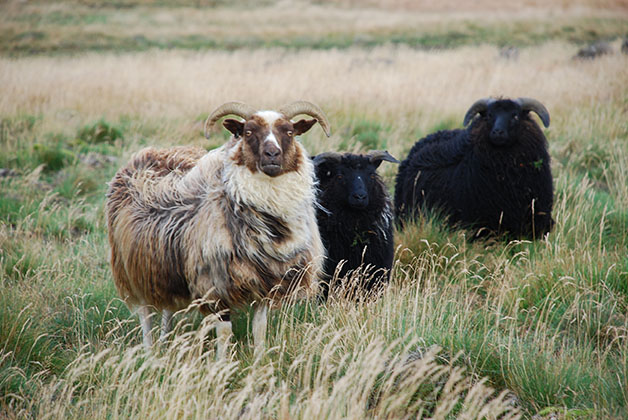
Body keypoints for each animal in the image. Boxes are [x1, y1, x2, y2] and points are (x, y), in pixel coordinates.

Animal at [105, 101, 332, 354]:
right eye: (248, 132)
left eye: (290, 132)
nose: (272, 154)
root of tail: (151, 152)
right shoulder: (215, 285)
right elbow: (224, 334)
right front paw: (222, 362)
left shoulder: (264, 283)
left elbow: (259, 329)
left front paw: (260, 359)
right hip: (134, 266)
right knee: (146, 315)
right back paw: (150, 352)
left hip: (165, 268)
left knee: (167, 309)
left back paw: (165, 342)